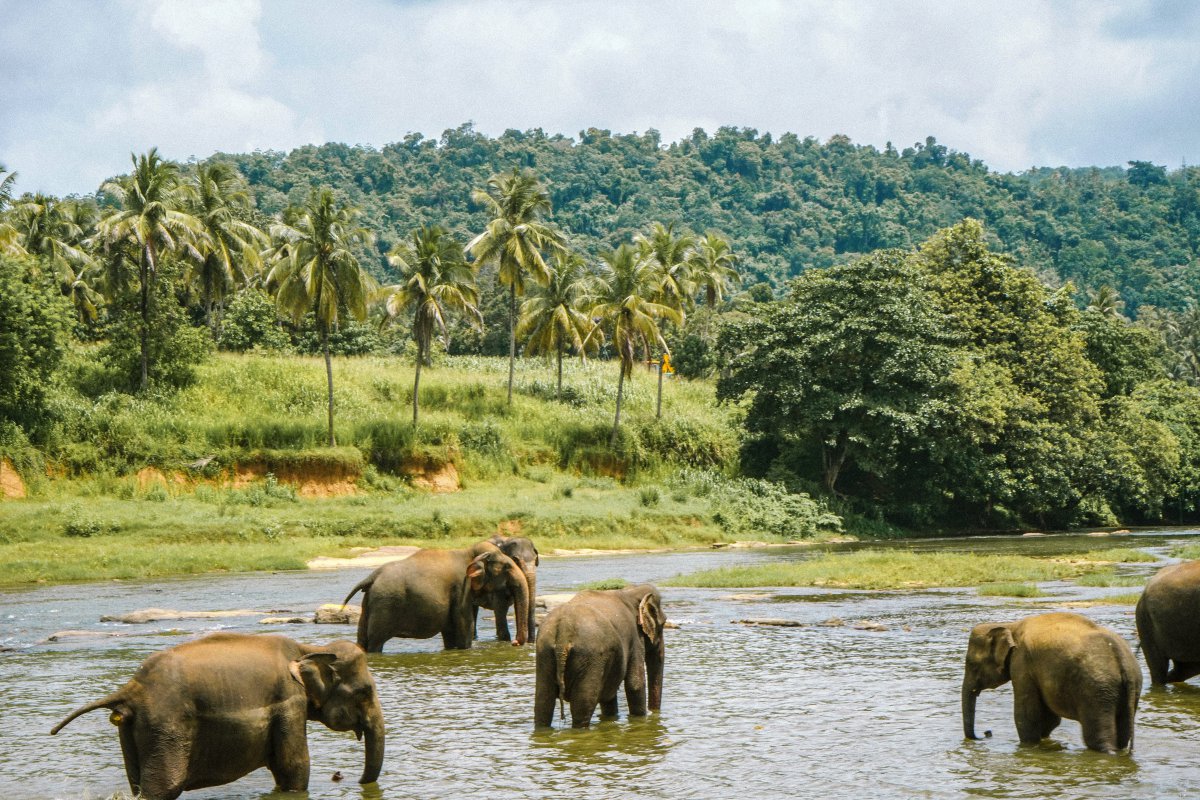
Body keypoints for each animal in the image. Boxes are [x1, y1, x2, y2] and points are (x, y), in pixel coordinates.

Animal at [49, 633, 379, 800]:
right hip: (167, 726)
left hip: (133, 729)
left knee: (138, 785)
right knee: (162, 788)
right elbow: (294, 768)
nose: (352, 780)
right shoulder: (289, 701)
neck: (308, 647)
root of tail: (131, 688)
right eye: (364, 692)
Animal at [340, 542, 528, 652]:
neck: (468, 553)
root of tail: (372, 576)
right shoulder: (461, 589)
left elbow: (451, 635)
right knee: (375, 642)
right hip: (384, 605)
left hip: (369, 603)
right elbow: (463, 632)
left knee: (363, 640)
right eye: (507, 567)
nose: (515, 643)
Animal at [535, 585, 667, 729]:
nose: (654, 713)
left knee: (543, 702)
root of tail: (564, 630)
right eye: (663, 624)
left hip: (544, 652)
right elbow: (635, 683)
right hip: (590, 657)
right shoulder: (635, 638)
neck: (630, 591)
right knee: (583, 705)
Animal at [960, 614, 1137, 758]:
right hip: (1126, 690)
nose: (986, 733)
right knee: (1123, 735)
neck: (1010, 626)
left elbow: (1027, 715)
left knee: (1098, 738)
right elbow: (1050, 719)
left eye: (972, 664)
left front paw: (1028, 747)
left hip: (1096, 691)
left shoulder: (1022, 664)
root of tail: (1121, 659)